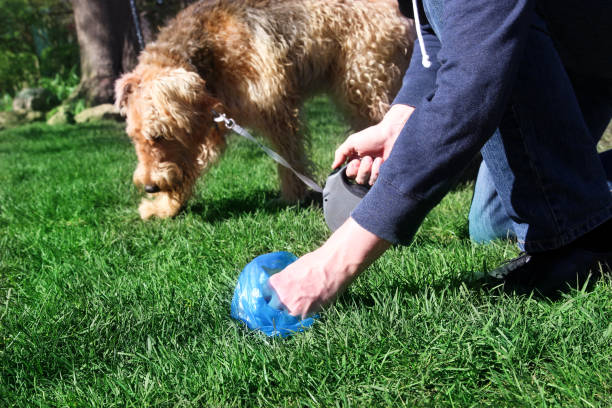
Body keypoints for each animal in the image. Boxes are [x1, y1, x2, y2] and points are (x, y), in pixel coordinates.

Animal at [116, 0, 412, 220]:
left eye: (159, 136)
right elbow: (189, 169)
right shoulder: (208, 128)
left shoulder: (275, 107)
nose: (150, 186)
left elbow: (289, 157)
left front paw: (293, 197)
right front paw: (163, 207)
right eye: (134, 138)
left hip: (364, 82)